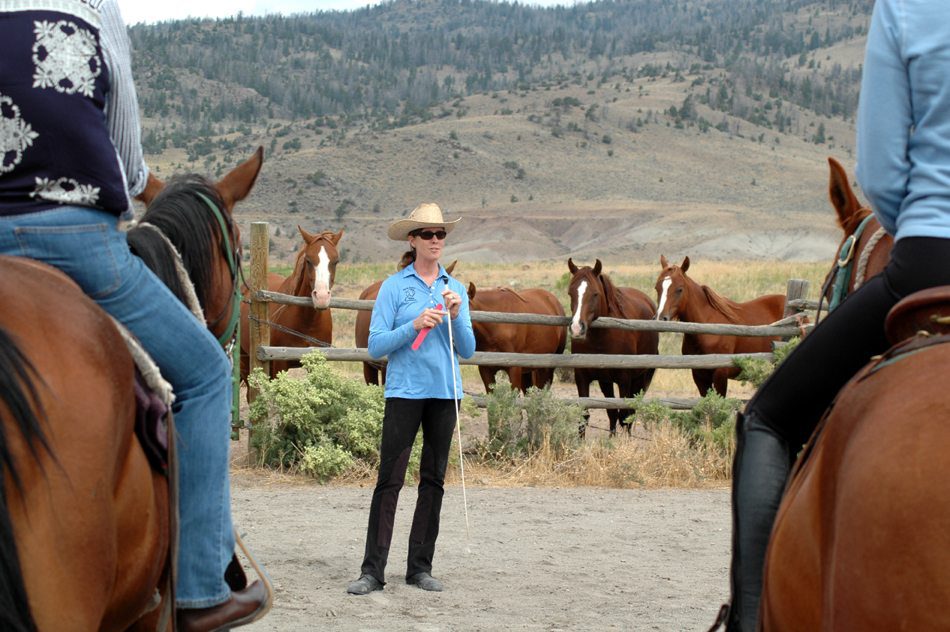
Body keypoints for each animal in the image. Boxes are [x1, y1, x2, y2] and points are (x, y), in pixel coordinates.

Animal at [239, 227, 344, 382]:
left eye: (336, 261)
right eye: (308, 260)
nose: (322, 297)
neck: (308, 322)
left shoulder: (317, 362)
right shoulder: (279, 363)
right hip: (245, 361)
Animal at [567, 258, 659, 436]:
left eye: (595, 294)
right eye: (570, 293)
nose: (576, 328)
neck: (601, 340)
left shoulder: (624, 380)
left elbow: (624, 415)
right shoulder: (583, 377)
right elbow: (586, 415)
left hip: (640, 378)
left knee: (629, 413)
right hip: (607, 381)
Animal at [654, 255, 785, 397]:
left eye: (679, 289)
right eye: (657, 288)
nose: (660, 318)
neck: (706, 327)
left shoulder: (720, 374)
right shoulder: (699, 376)